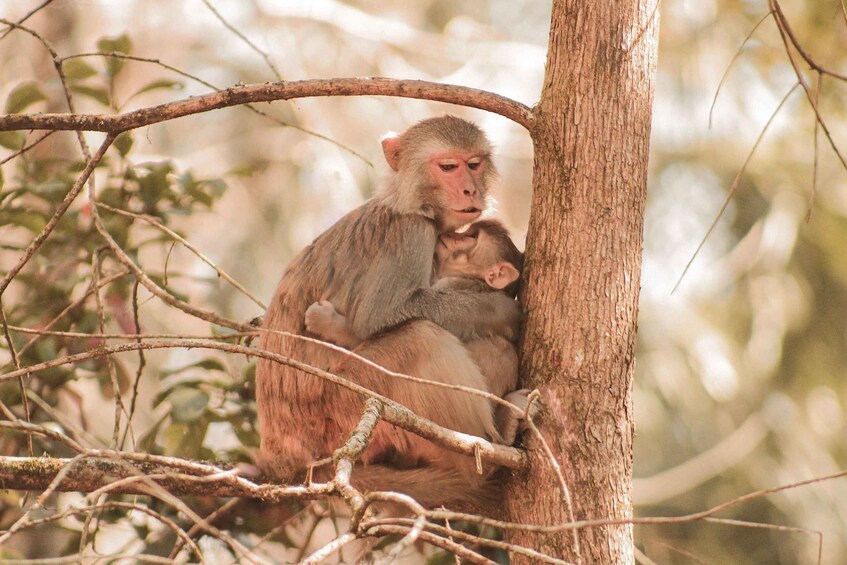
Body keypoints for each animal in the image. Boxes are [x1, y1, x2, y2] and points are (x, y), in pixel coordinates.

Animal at [255, 116, 523, 508]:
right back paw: (485, 451)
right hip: (344, 407)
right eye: (448, 167)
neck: (409, 202)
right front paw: (501, 310)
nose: (471, 191)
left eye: (474, 164)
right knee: (422, 338)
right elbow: (379, 315)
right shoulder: (412, 234)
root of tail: (287, 461)